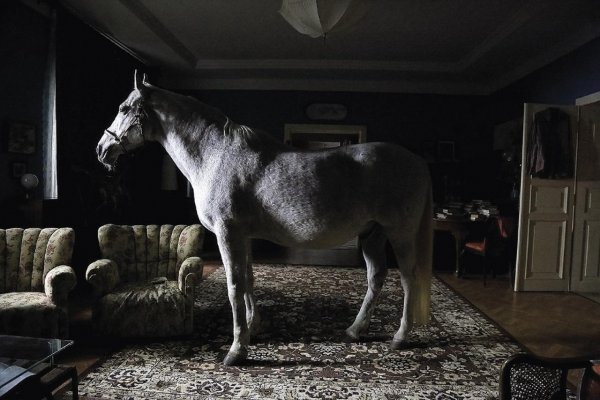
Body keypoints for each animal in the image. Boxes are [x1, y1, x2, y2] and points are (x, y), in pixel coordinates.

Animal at [96, 72, 432, 366]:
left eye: (124, 108)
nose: (101, 149)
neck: (216, 156)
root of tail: (418, 162)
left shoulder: (227, 234)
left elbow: (234, 286)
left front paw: (236, 351)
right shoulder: (242, 236)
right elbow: (248, 280)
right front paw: (252, 328)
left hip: (398, 233)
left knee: (408, 278)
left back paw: (400, 337)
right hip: (372, 234)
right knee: (376, 277)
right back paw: (354, 330)